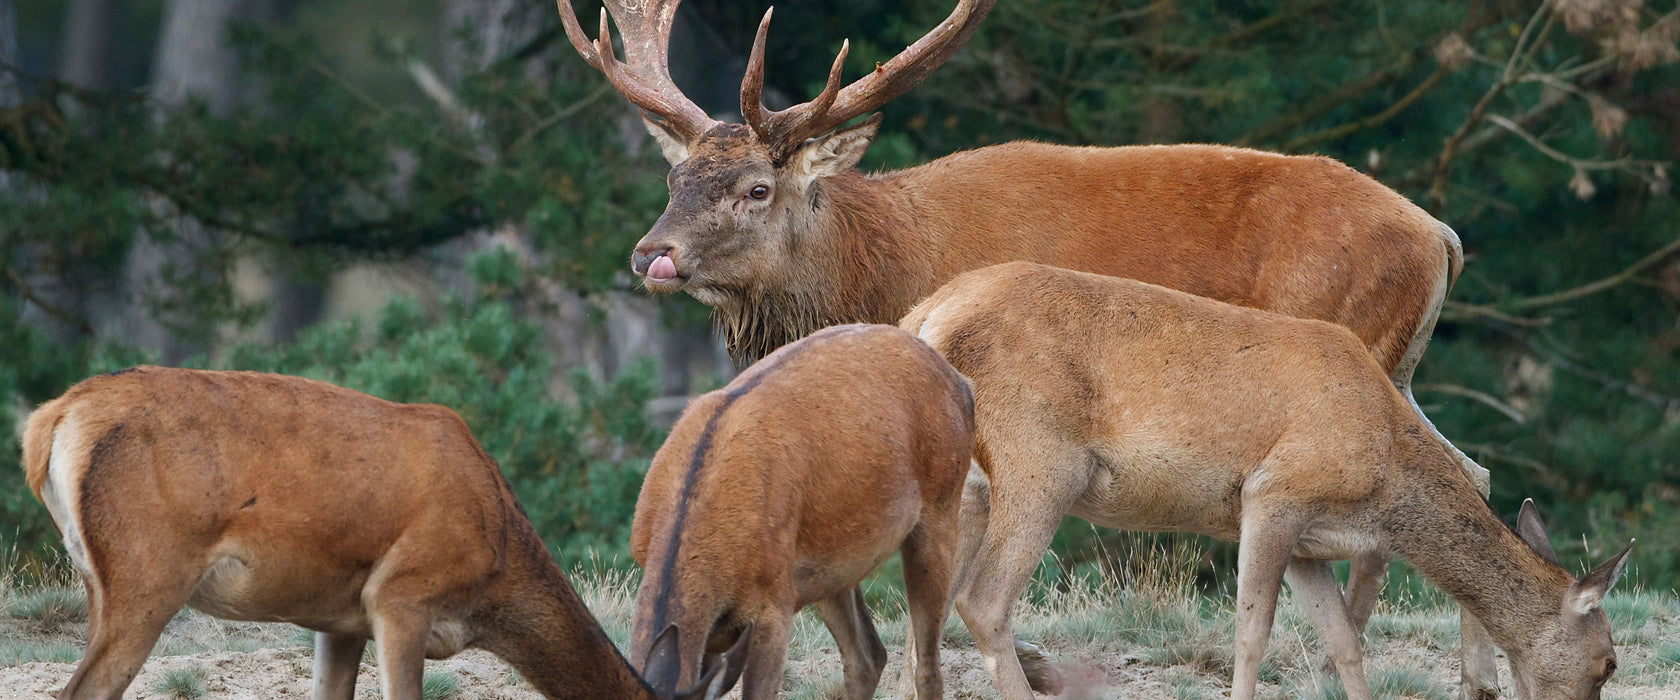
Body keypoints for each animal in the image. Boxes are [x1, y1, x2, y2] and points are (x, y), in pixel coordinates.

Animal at [628, 323, 974, 698]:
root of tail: (962, 385)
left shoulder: (773, 605)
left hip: (941, 505)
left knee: (926, 665)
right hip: (830, 565)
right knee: (867, 657)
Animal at [900, 261, 1632, 698]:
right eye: (1608, 661)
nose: (1607, 664)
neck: (1381, 480)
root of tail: (926, 315)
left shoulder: (1310, 544)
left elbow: (1344, 642)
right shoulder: (1273, 494)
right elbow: (1252, 633)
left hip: (970, 486)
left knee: (931, 604)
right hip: (1039, 461)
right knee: (983, 599)